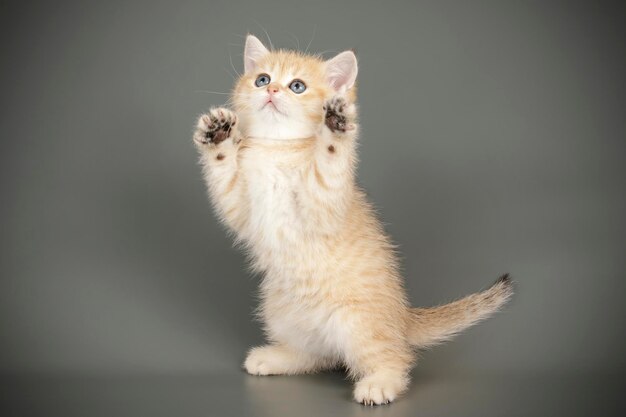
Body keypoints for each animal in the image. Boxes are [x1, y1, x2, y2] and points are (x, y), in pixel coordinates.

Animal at [191, 34, 512, 404]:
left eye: (297, 86)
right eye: (262, 79)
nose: (271, 90)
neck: (277, 148)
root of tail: (402, 319)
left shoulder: (324, 204)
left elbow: (329, 163)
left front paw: (335, 127)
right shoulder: (242, 209)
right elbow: (225, 180)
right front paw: (218, 136)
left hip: (356, 322)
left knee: (393, 356)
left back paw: (380, 383)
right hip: (280, 311)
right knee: (319, 355)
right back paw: (276, 357)